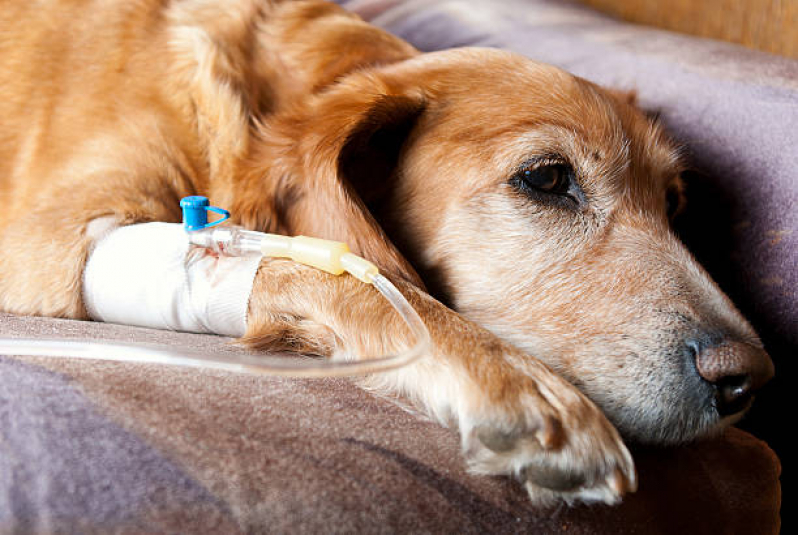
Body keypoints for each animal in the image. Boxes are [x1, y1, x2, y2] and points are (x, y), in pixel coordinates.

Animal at [0, 0, 776, 504]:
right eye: (548, 178)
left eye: (673, 205)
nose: (748, 381)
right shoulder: (52, 240)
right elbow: (359, 281)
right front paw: (519, 385)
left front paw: (750, 462)